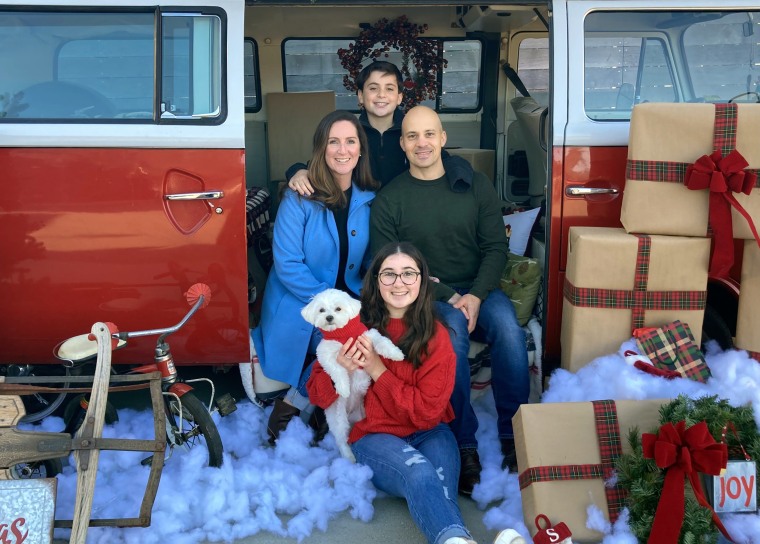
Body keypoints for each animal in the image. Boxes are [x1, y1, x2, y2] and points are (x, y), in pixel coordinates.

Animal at [300, 286, 404, 462]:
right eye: (321, 310)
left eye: (338, 309)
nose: (329, 317)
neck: (341, 334)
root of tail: (350, 415)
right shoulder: (325, 353)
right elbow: (336, 369)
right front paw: (343, 388)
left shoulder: (367, 336)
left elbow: (382, 342)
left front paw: (396, 354)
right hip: (338, 419)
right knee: (342, 440)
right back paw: (349, 457)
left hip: (361, 416)